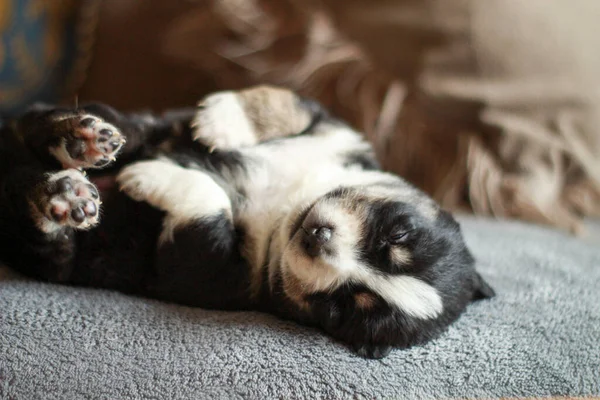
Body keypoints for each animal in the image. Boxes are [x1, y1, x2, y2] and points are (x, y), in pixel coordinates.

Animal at [0, 85, 494, 360]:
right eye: (398, 232)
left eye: (343, 305)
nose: (318, 237)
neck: (287, 208)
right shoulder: (339, 130)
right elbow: (285, 103)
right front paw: (217, 122)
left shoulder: (210, 270)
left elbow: (210, 207)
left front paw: (148, 177)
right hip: (87, 120)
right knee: (43, 125)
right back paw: (79, 139)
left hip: (53, 253)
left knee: (38, 221)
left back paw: (65, 194)